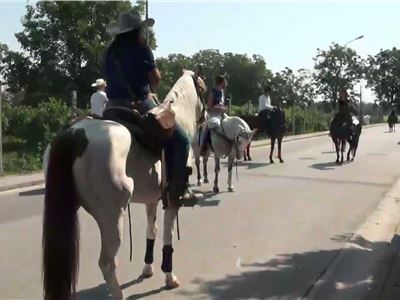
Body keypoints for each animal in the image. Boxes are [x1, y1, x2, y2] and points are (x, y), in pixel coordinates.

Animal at [41, 71, 206, 300]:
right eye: (204, 89)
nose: (206, 118)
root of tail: (75, 134)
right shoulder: (172, 201)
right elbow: (167, 236)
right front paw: (169, 277)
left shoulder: (151, 200)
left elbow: (151, 231)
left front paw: (147, 269)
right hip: (111, 216)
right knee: (107, 263)